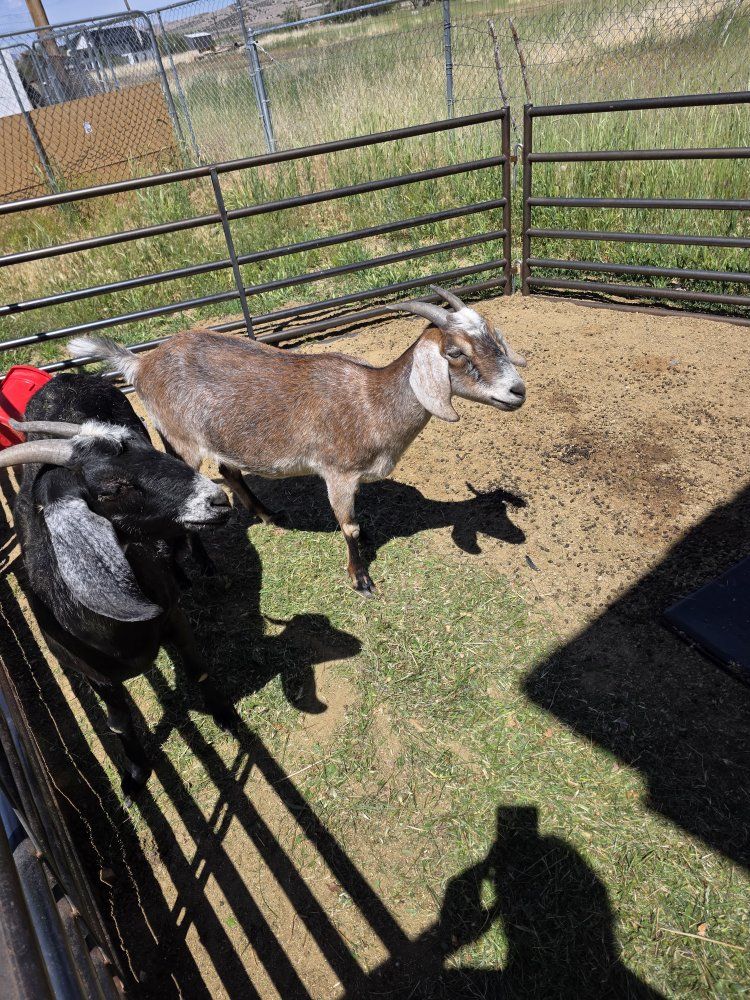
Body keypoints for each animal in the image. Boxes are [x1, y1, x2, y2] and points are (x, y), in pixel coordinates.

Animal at [1, 372, 231, 799]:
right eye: (112, 488)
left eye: (143, 449)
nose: (217, 500)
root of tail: (66, 376)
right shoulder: (94, 675)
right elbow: (119, 722)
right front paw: (135, 776)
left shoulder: (173, 617)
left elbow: (196, 668)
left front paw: (224, 714)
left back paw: (200, 569)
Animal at [70, 286, 526, 596]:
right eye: (455, 352)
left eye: (494, 339)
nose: (517, 391)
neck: (372, 402)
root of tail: (142, 363)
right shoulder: (338, 473)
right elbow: (349, 525)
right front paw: (360, 578)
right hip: (182, 441)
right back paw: (205, 563)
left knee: (230, 469)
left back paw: (268, 515)